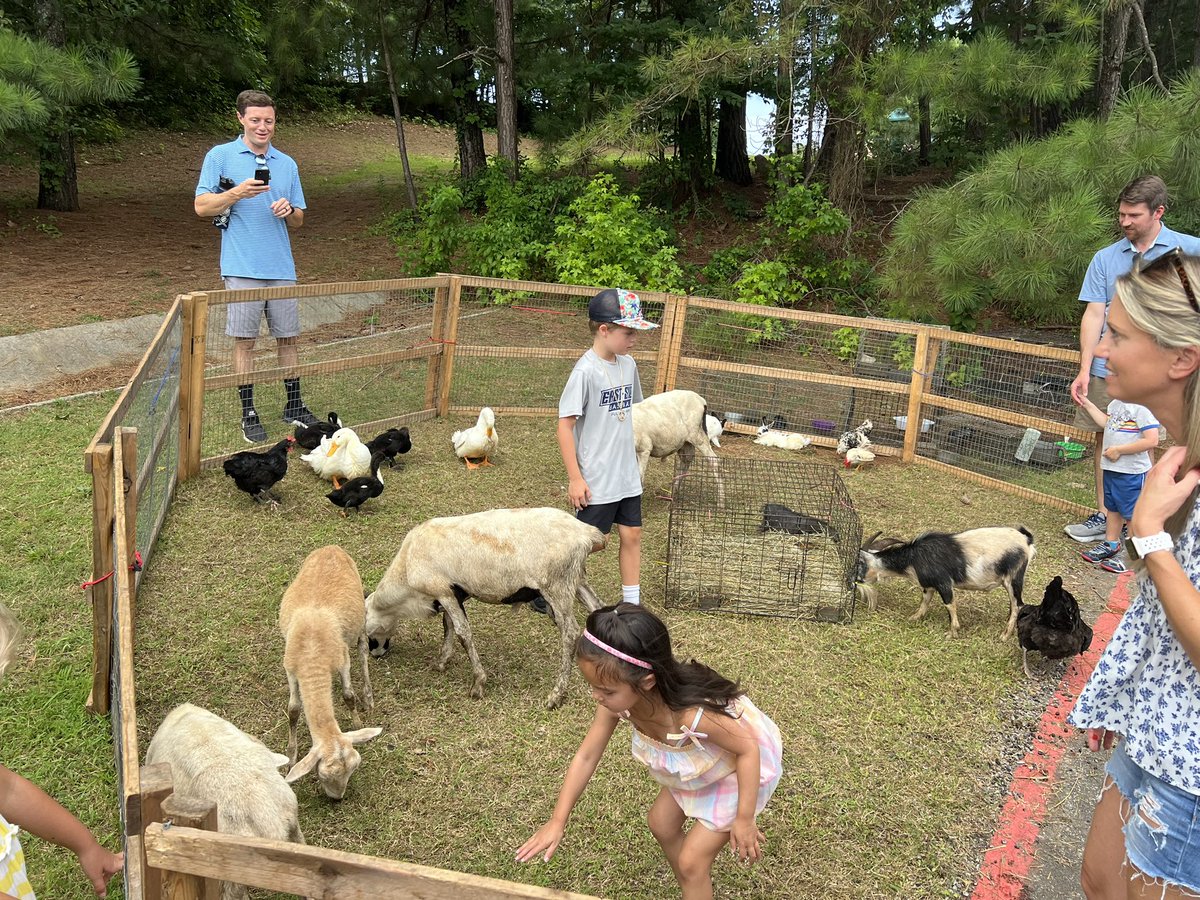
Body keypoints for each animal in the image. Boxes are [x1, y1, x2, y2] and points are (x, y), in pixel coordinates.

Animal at [277, 547, 379, 801]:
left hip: (360, 615)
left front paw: (357, 722)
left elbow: (348, 696)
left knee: (363, 649)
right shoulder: (291, 669)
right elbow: (293, 710)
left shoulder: (343, 661)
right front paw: (290, 756)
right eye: (322, 774)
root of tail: (333, 547)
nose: (337, 799)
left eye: (353, 769)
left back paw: (368, 697)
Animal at [362, 508, 609, 710]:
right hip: (576, 580)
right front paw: (441, 661)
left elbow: (463, 633)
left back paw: (556, 695)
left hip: (556, 585)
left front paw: (478, 684)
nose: (376, 655)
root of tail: (587, 533)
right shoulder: (453, 593)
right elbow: (448, 626)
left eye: (367, 635)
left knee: (570, 633)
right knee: (597, 608)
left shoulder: (442, 591)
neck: (405, 576)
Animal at [859, 528, 1036, 643]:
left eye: (860, 564)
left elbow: (950, 604)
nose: (857, 581)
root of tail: (1026, 540)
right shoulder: (929, 585)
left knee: (1018, 604)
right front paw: (914, 617)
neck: (914, 557)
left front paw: (952, 633)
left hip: (1014, 577)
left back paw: (1004, 636)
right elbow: (925, 600)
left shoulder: (943, 582)